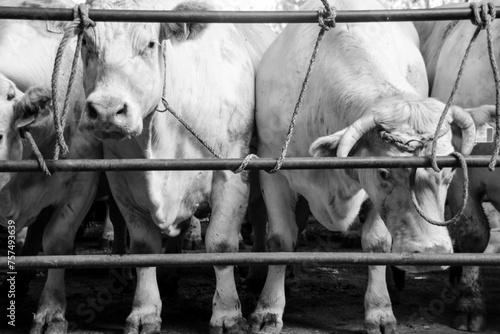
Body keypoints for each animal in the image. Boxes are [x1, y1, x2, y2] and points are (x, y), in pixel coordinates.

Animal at [76, 0, 276, 332]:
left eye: (150, 44)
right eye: (87, 44)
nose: (106, 110)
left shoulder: (231, 173)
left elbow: (221, 243)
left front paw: (227, 313)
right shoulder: (123, 183)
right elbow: (144, 248)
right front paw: (145, 311)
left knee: (260, 218)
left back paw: (258, 273)